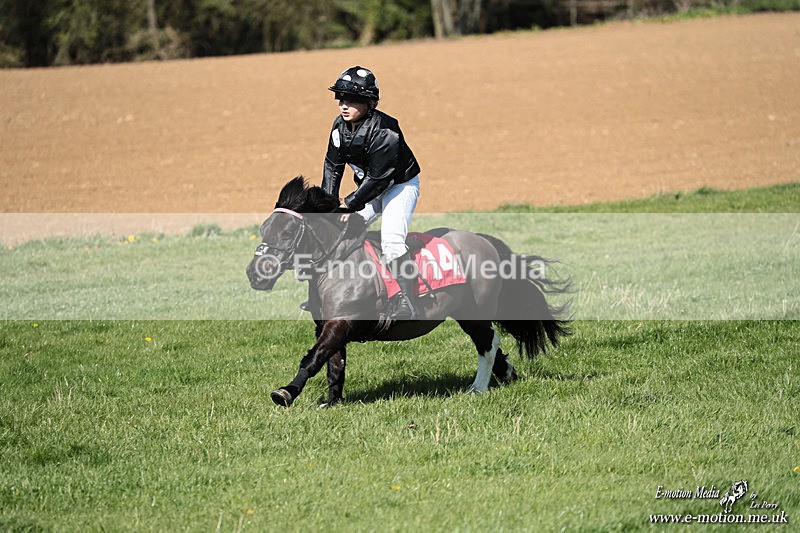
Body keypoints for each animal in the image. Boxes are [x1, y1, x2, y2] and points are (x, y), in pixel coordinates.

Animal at [246, 177, 571, 408]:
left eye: (288, 232)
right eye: (263, 229)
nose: (255, 274)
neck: (337, 262)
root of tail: (484, 241)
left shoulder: (342, 321)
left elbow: (313, 359)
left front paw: (285, 393)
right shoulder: (329, 324)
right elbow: (334, 364)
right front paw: (331, 401)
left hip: (474, 312)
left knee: (487, 342)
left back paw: (477, 388)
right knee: (491, 343)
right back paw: (507, 373)